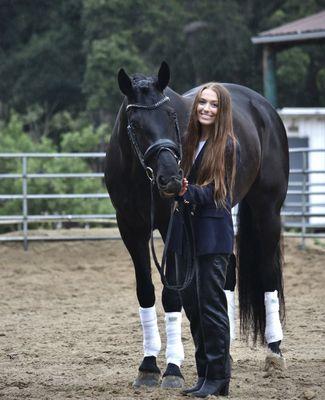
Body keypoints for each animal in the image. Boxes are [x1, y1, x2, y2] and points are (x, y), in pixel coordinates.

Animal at [104, 61, 288, 388]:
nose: (171, 179)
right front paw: (148, 365)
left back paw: (274, 353)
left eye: (171, 116)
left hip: (267, 211)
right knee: (228, 273)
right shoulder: (130, 229)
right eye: (134, 123)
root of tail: (263, 107)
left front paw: (172, 369)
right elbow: (146, 292)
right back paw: (226, 354)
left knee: (268, 275)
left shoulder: (173, 227)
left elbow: (172, 295)